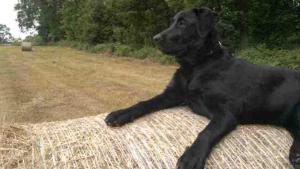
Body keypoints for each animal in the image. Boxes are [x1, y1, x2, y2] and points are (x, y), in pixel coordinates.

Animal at [105, 7, 300, 168]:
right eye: (172, 22)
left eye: (182, 23)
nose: (155, 39)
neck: (197, 65)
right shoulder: (172, 94)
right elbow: (145, 103)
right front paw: (121, 113)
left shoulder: (226, 113)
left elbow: (206, 132)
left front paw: (192, 156)